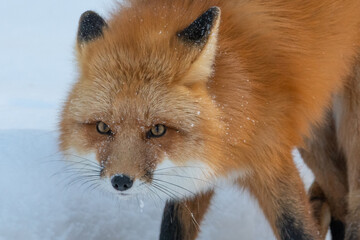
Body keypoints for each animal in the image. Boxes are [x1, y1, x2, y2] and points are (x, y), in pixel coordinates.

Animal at [59, 0, 360, 239]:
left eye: (157, 130)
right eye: (103, 128)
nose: (121, 181)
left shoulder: (271, 158)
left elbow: (297, 228)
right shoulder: (192, 169)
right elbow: (173, 228)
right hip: (314, 134)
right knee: (338, 199)